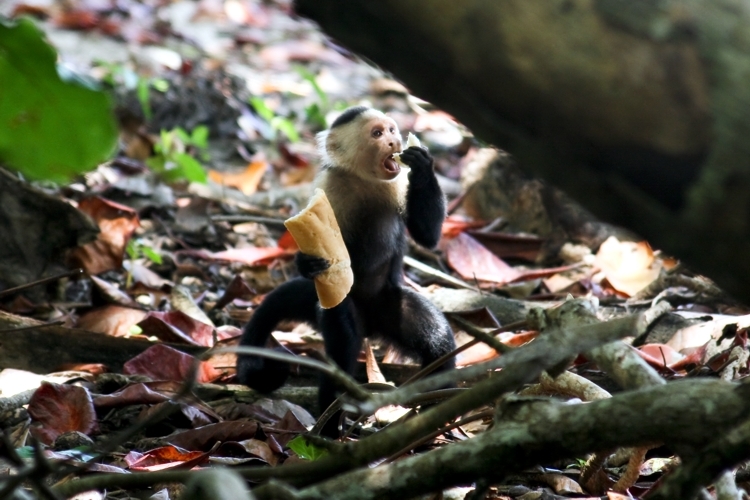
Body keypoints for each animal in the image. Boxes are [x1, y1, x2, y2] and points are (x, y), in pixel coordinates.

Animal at [238, 107, 456, 436]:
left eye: (392, 130)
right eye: (377, 134)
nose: (393, 140)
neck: (365, 180)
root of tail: (372, 324)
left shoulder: (396, 183)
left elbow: (427, 236)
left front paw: (422, 166)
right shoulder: (329, 191)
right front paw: (307, 263)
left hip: (387, 304)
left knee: (437, 340)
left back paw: (440, 405)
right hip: (340, 307)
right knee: (343, 346)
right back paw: (328, 428)